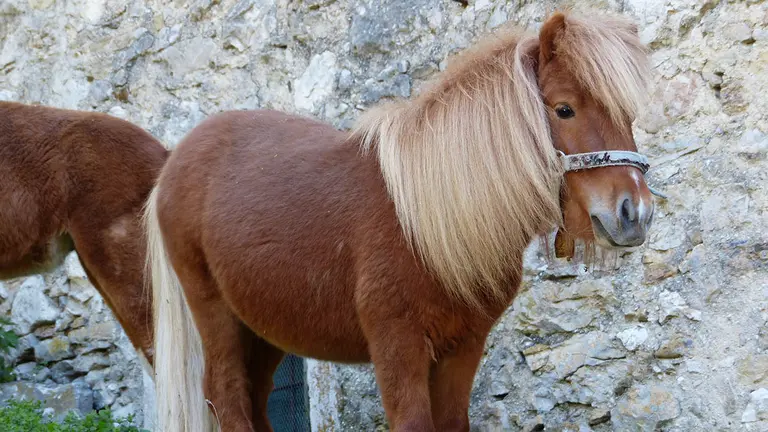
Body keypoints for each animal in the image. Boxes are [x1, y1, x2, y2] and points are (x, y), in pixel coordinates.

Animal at [145, 10, 655, 432]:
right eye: (564, 109)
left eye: (628, 114)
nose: (636, 214)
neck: (428, 225)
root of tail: (173, 164)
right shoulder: (397, 346)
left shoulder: (462, 348)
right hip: (215, 313)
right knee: (226, 394)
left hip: (264, 324)